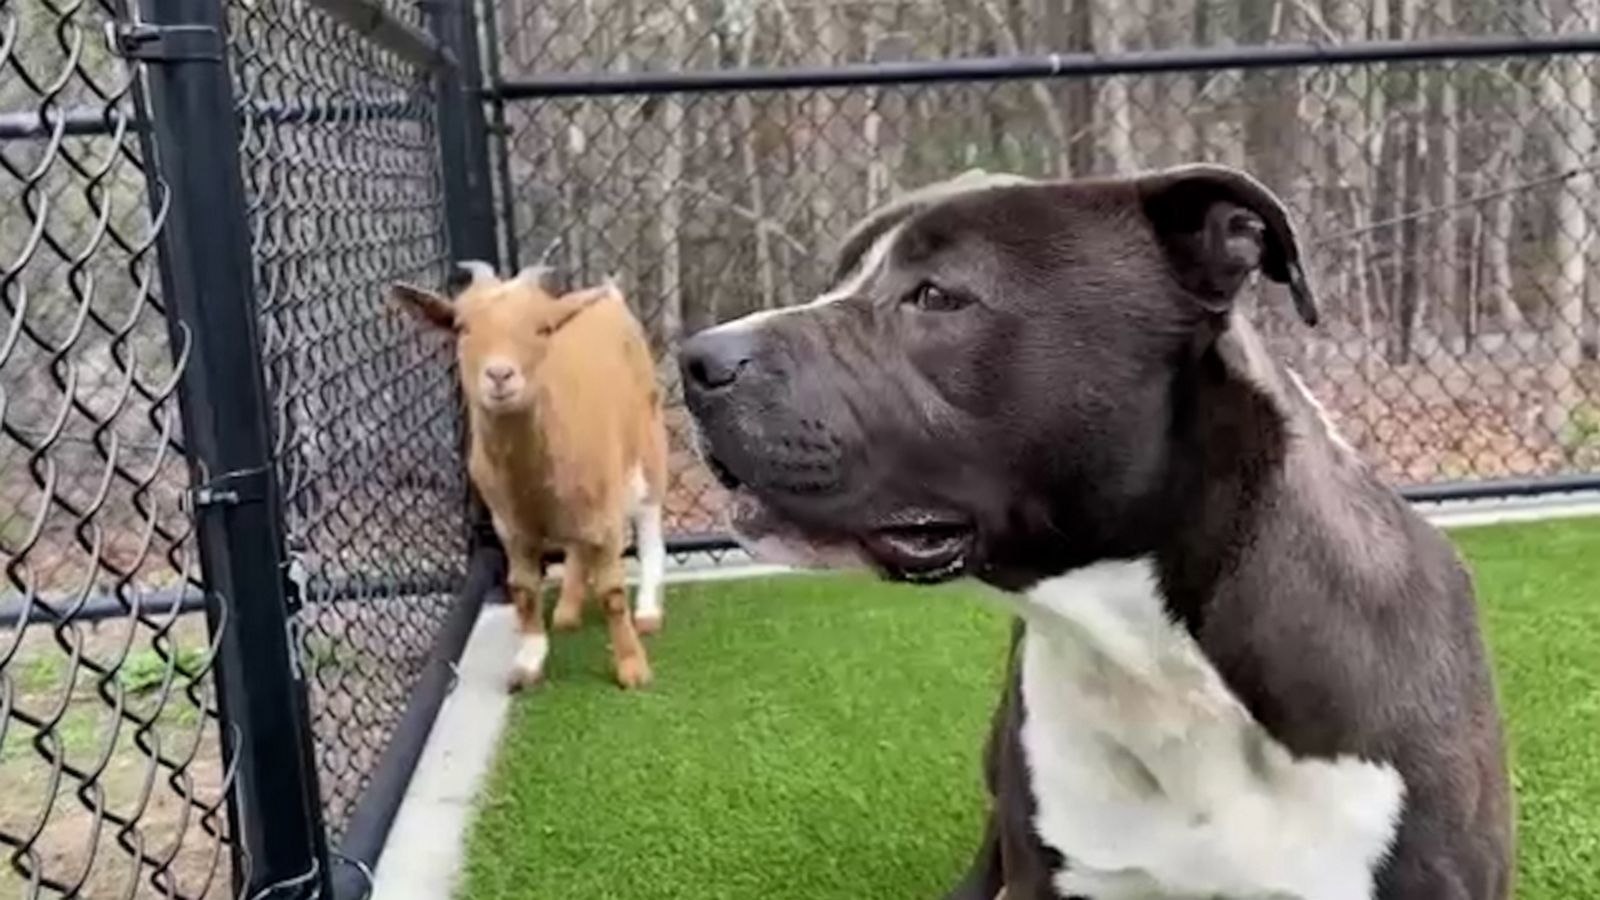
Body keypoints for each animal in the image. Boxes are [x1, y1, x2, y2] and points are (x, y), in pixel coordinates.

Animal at [390, 262, 672, 688]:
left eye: (543, 328)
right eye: (461, 326)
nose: (500, 375)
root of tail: (611, 298)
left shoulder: (604, 513)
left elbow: (612, 592)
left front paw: (632, 668)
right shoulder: (510, 526)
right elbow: (522, 591)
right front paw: (528, 662)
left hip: (649, 443)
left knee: (650, 525)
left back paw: (648, 612)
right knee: (576, 548)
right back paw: (568, 610)